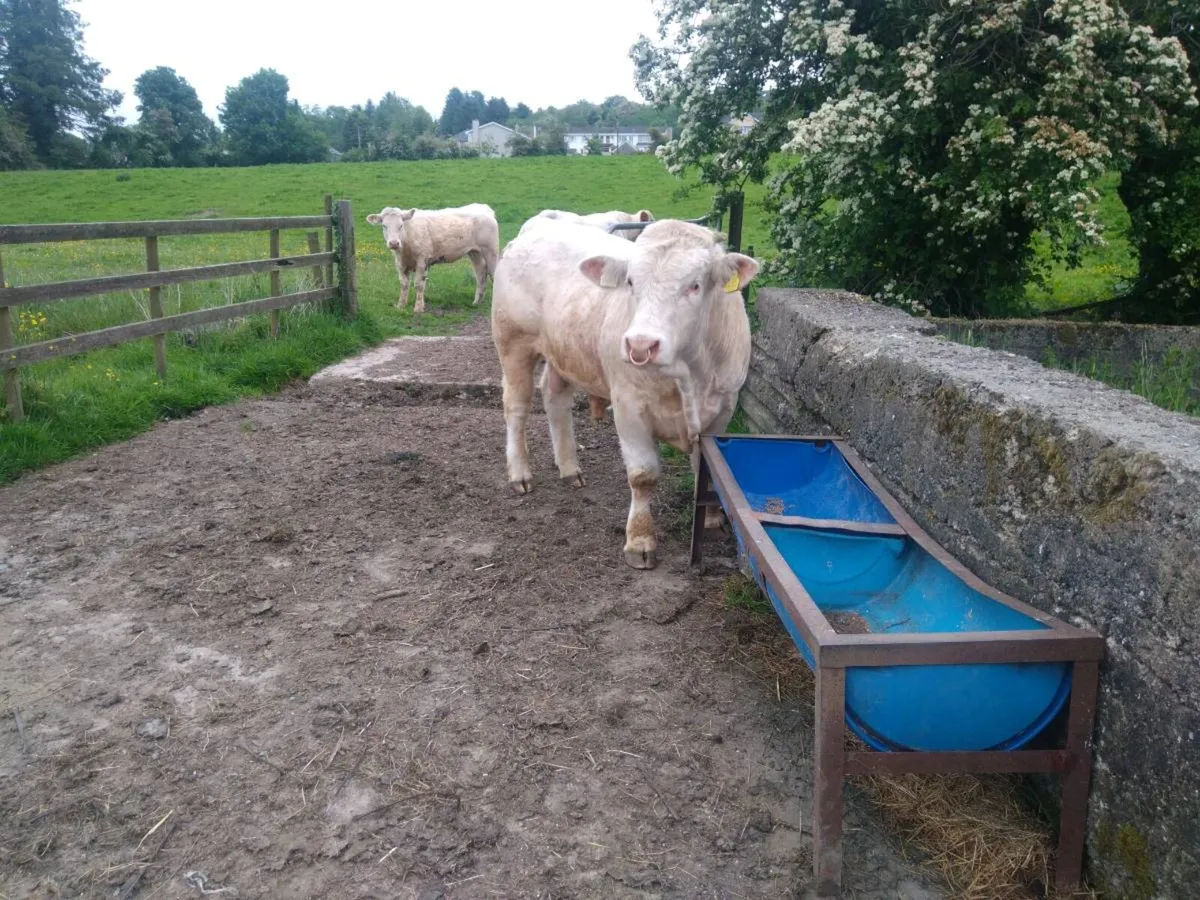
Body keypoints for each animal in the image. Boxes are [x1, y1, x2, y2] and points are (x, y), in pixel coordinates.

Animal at [366, 203, 500, 313]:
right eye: (384, 226)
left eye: (401, 225)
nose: (394, 243)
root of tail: (484, 207)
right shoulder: (400, 263)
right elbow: (404, 284)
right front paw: (401, 305)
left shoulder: (422, 260)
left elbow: (418, 284)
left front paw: (418, 308)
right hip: (474, 252)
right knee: (480, 273)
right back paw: (476, 302)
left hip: (491, 251)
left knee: (493, 274)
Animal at [490, 218, 757, 570]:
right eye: (630, 281)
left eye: (695, 285)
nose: (640, 344)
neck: (690, 374)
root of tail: (538, 226)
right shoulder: (629, 406)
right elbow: (643, 475)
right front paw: (640, 541)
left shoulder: (724, 406)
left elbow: (709, 469)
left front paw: (713, 520)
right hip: (513, 344)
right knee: (516, 408)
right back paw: (520, 473)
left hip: (563, 351)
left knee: (555, 398)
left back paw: (569, 468)